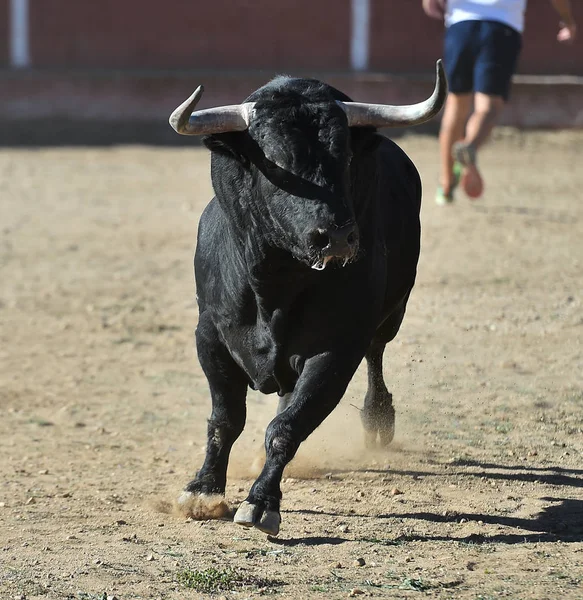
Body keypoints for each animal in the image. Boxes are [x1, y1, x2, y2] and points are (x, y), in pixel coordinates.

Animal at [169, 63, 448, 536]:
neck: (274, 288)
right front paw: (202, 491)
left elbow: (288, 426)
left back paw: (377, 418)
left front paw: (261, 503)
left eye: (347, 158)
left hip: (391, 314)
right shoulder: (210, 336)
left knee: (376, 354)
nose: (336, 236)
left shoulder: (337, 350)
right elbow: (226, 419)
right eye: (276, 161)